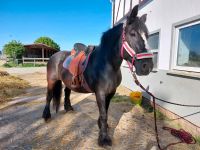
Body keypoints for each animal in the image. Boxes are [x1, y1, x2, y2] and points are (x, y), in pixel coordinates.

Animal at [42, 4, 153, 146]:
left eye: (148, 36)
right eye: (132, 33)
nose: (147, 66)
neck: (107, 64)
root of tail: (54, 56)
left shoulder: (110, 92)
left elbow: (105, 110)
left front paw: (101, 126)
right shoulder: (100, 92)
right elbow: (104, 113)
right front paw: (104, 138)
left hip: (67, 82)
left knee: (67, 92)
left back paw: (68, 108)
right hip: (51, 80)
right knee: (49, 96)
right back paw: (46, 116)